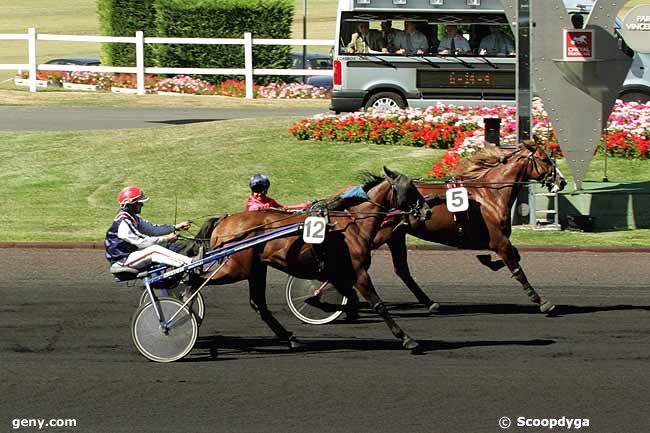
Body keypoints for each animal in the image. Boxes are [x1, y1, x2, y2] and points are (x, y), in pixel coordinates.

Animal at [190, 167, 430, 352]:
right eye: (410, 188)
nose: (427, 211)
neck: (352, 225)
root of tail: (224, 220)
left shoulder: (338, 273)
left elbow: (349, 300)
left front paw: (325, 306)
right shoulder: (358, 271)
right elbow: (377, 304)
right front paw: (407, 339)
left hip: (255, 269)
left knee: (258, 304)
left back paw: (290, 338)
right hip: (235, 268)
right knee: (193, 280)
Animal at [372, 142, 564, 314]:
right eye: (544, 159)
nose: (562, 181)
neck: (492, 195)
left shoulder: (500, 241)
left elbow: (515, 256)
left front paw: (487, 260)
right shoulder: (499, 241)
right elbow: (517, 270)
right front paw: (542, 301)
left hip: (396, 235)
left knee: (402, 270)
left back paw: (430, 303)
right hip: (382, 234)